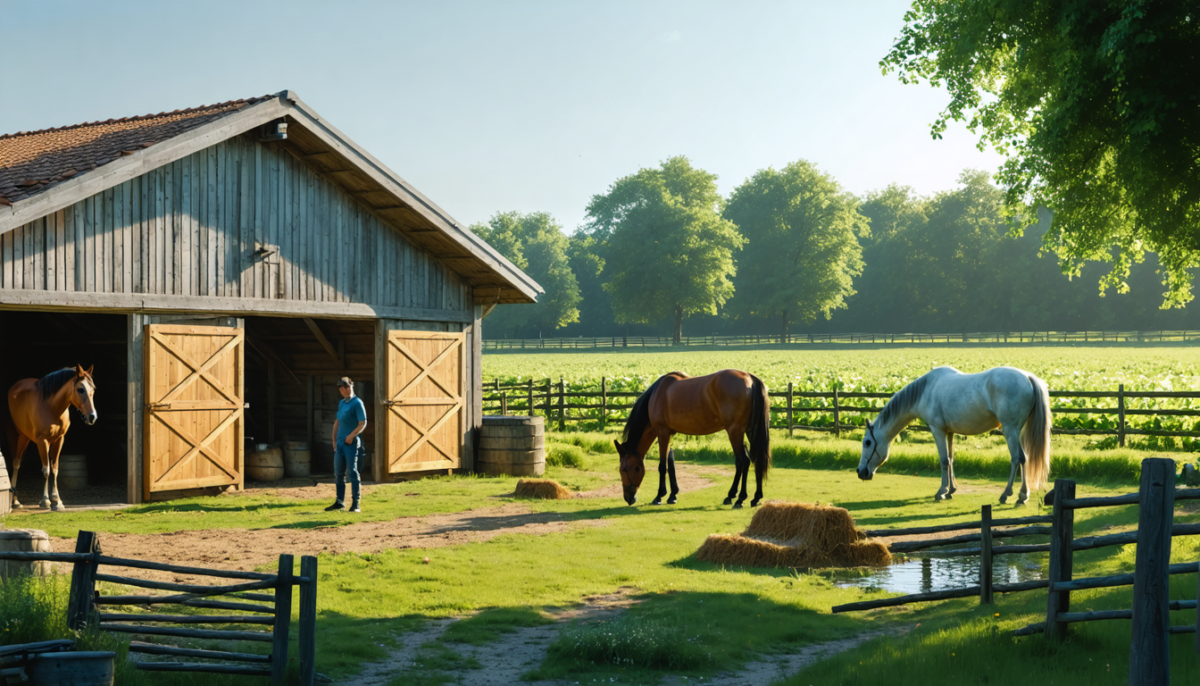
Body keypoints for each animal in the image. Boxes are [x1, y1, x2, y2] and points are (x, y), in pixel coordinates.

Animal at [5, 365, 98, 510]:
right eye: (81, 389)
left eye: (93, 389)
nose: (92, 417)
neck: (51, 407)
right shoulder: (42, 441)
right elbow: (46, 470)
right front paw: (46, 501)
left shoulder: (59, 440)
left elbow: (54, 469)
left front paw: (56, 501)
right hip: (17, 437)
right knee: (16, 463)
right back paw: (15, 501)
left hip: (26, 438)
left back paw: (16, 501)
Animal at [614, 369, 771, 508]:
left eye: (624, 469)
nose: (628, 498)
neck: (657, 393)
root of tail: (749, 378)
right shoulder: (669, 434)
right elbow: (671, 462)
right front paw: (672, 495)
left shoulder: (662, 432)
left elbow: (663, 466)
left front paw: (659, 496)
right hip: (750, 430)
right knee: (755, 459)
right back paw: (755, 497)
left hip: (735, 432)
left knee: (742, 461)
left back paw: (736, 497)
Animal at [856, 366, 1051, 504]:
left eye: (867, 442)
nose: (860, 472)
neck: (926, 390)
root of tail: (1027, 377)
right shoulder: (949, 432)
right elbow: (950, 459)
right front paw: (951, 491)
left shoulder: (937, 430)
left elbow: (943, 460)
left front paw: (941, 492)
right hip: (1018, 430)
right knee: (1024, 458)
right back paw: (1022, 495)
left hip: (1010, 429)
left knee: (1016, 458)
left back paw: (1007, 495)